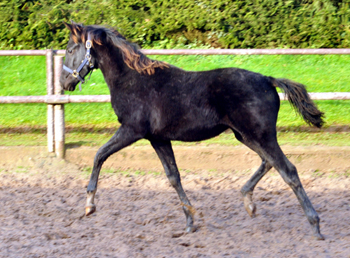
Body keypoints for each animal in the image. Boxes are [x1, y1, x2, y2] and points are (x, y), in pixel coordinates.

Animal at [60, 22, 326, 240]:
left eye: (71, 50)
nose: (64, 82)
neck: (133, 80)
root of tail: (268, 79)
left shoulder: (131, 130)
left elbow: (99, 155)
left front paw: (89, 205)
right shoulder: (158, 138)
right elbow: (173, 177)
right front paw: (190, 221)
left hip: (259, 135)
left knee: (287, 169)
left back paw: (315, 225)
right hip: (246, 135)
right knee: (268, 162)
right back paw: (248, 201)